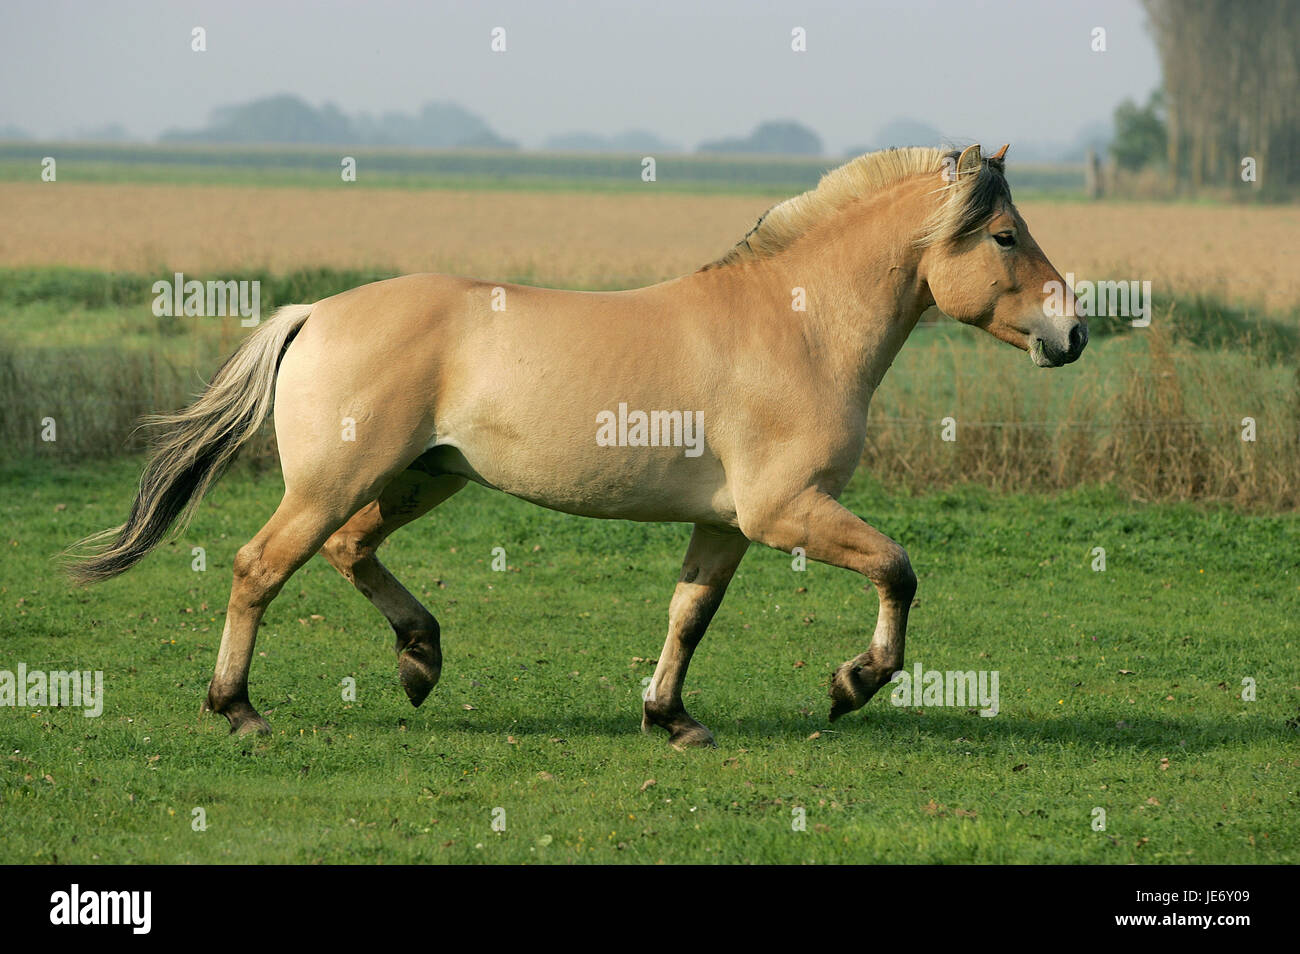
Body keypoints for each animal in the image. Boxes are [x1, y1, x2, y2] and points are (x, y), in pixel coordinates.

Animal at [71, 145, 1086, 748]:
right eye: (1005, 235)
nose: (1072, 334)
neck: (796, 327)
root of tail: (315, 311)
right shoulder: (786, 512)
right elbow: (898, 570)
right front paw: (852, 683)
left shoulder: (727, 525)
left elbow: (689, 616)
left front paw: (670, 718)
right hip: (337, 481)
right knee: (259, 567)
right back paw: (239, 707)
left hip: (418, 480)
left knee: (348, 550)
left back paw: (420, 659)